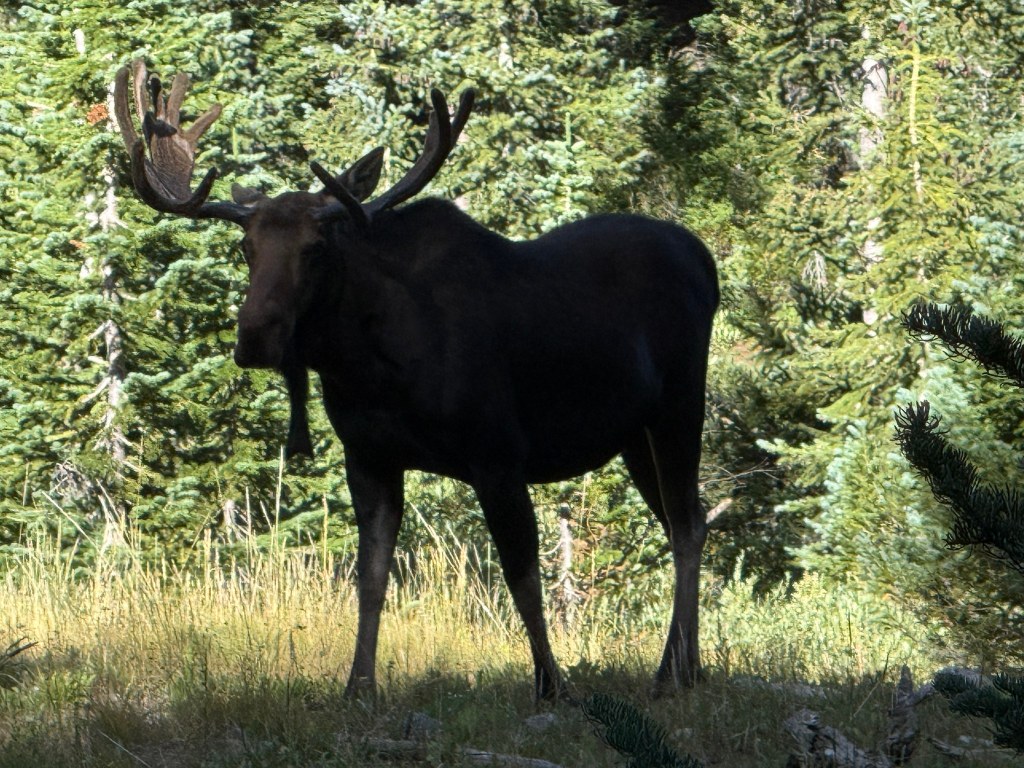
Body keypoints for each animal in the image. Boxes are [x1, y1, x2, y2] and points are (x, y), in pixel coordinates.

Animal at [113, 59, 719, 701]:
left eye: (318, 246)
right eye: (246, 246)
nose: (254, 337)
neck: (372, 369)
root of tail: (704, 259)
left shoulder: (498, 454)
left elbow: (523, 578)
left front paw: (551, 684)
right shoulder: (370, 459)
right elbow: (371, 579)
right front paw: (358, 687)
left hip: (680, 404)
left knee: (686, 526)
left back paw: (672, 672)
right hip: (634, 434)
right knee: (689, 520)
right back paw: (688, 665)